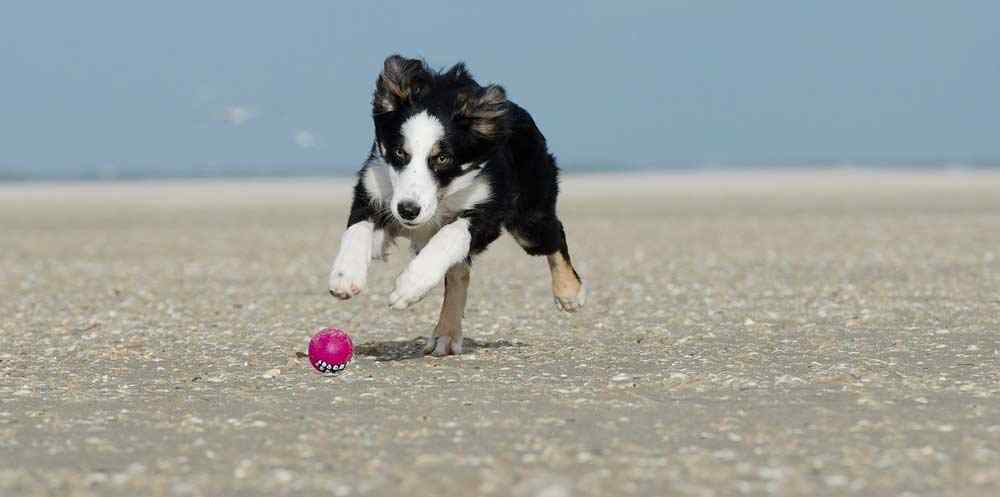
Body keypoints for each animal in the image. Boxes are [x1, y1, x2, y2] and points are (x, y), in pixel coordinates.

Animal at [326, 54, 584, 354]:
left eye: (442, 158)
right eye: (400, 152)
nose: (408, 211)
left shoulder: (487, 211)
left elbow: (450, 235)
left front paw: (409, 286)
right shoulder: (374, 190)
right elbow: (357, 229)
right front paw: (345, 276)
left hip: (529, 221)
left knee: (554, 235)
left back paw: (569, 293)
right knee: (460, 273)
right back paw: (447, 334)